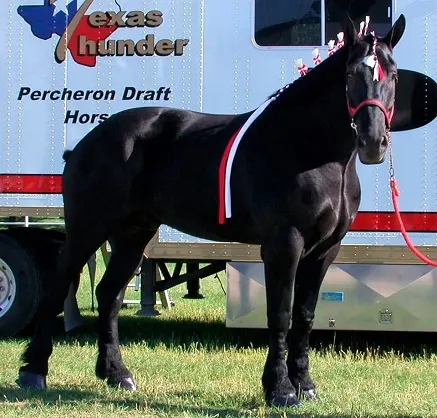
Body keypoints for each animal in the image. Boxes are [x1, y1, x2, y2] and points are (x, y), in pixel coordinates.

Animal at [16, 13, 406, 408]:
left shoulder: (325, 251)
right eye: (350, 75)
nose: (373, 143)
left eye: (393, 74)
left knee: (109, 295)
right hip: (87, 229)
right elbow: (280, 314)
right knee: (58, 287)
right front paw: (280, 390)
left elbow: (305, 316)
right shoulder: (284, 246)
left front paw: (305, 385)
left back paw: (117, 374)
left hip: (132, 235)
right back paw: (34, 371)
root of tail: (86, 143)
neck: (307, 150)